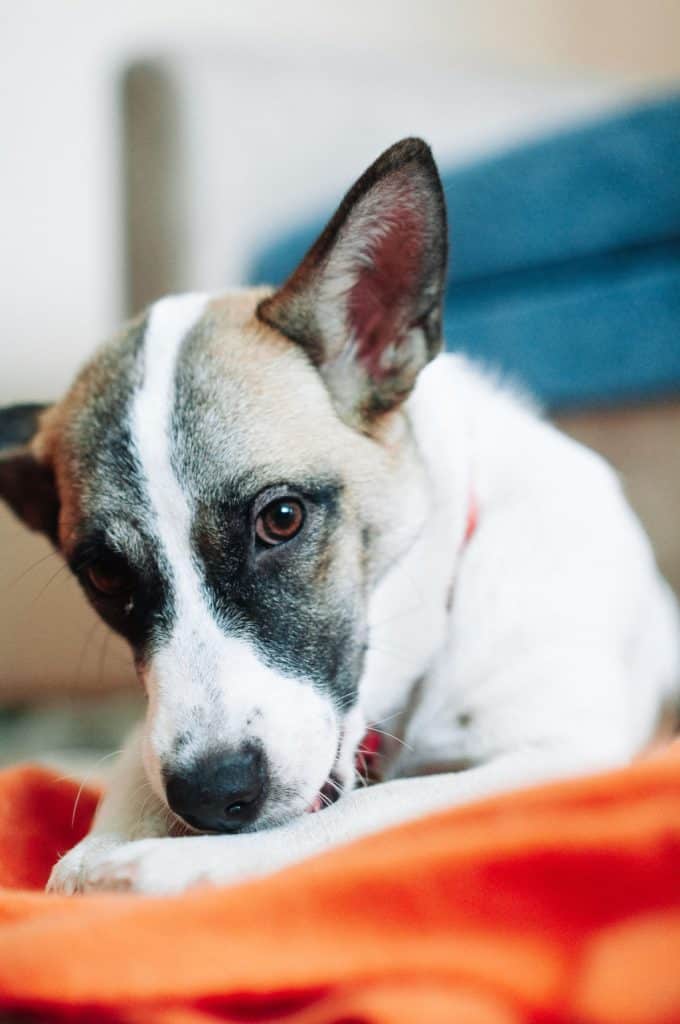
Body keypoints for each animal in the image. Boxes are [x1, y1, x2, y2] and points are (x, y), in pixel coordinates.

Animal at [1, 140, 680, 892]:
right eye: (105, 576)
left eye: (282, 517)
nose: (212, 795)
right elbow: (131, 774)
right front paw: (100, 845)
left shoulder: (557, 755)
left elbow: (364, 810)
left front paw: (176, 861)